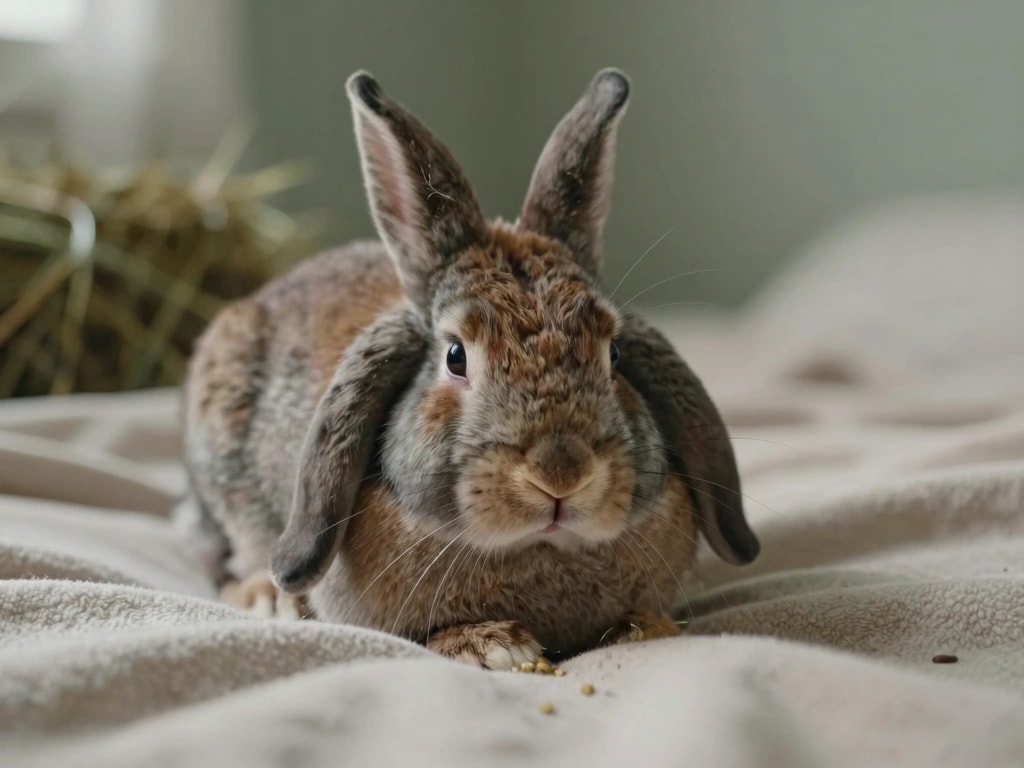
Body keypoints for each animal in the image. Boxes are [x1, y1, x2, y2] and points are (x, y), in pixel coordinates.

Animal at [180, 67, 760, 667]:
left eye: (614, 354)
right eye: (455, 356)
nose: (561, 474)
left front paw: (647, 628)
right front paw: (495, 648)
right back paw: (271, 599)